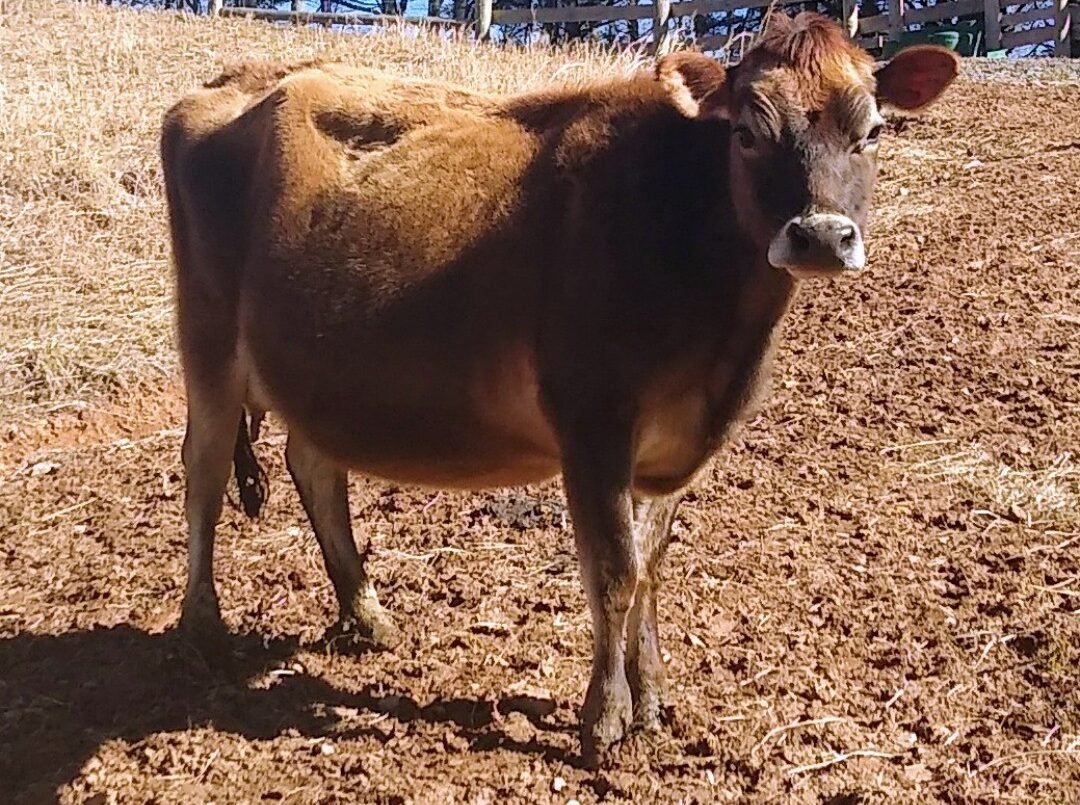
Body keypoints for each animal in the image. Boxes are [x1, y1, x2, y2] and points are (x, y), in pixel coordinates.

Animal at [160, 11, 957, 763]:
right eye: (747, 133)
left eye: (873, 131)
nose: (820, 236)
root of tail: (233, 80)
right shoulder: (593, 424)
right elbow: (613, 573)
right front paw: (603, 719)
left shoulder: (669, 451)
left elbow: (649, 570)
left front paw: (652, 697)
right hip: (207, 339)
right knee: (203, 470)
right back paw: (205, 626)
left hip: (315, 369)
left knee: (314, 465)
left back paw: (366, 613)